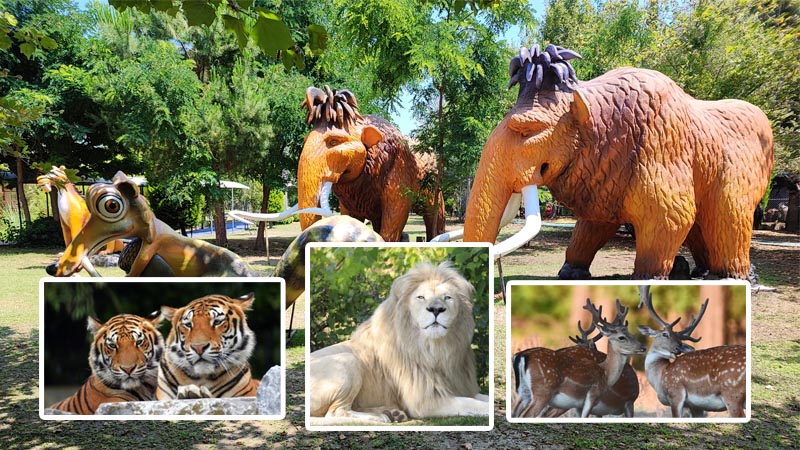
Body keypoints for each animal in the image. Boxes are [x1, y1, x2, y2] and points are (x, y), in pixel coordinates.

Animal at [308, 261, 491, 425]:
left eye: (447, 297)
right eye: (421, 297)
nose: (436, 309)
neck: (436, 349)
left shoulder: (461, 386)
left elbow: (483, 398)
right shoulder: (425, 402)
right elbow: (473, 404)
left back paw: (392, 413)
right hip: (347, 360)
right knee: (335, 412)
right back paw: (377, 418)